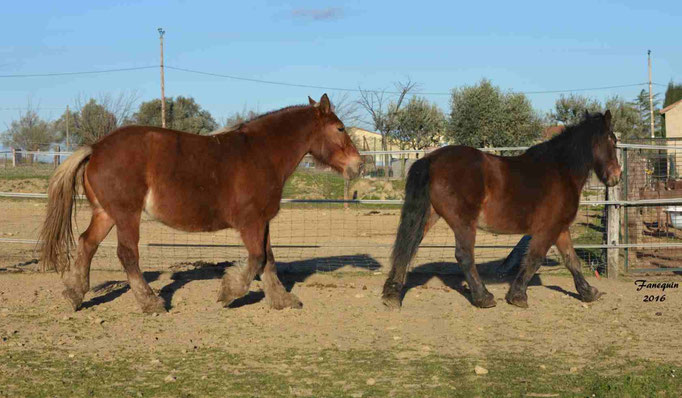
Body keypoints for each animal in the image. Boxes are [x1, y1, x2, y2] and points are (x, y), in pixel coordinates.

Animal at [40, 94, 362, 314]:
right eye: (340, 128)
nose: (358, 165)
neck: (261, 154)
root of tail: (96, 148)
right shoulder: (250, 223)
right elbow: (257, 259)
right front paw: (229, 292)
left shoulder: (263, 221)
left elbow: (269, 260)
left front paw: (282, 299)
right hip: (126, 215)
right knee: (127, 254)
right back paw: (151, 302)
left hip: (106, 214)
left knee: (87, 244)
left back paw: (74, 295)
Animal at [382, 110, 620, 310]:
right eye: (612, 140)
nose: (616, 176)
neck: (561, 171)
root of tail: (431, 159)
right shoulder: (549, 229)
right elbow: (535, 259)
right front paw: (517, 296)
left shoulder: (560, 229)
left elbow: (572, 260)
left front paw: (589, 292)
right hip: (463, 222)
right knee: (464, 256)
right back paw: (483, 297)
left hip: (429, 215)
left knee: (408, 245)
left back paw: (391, 295)